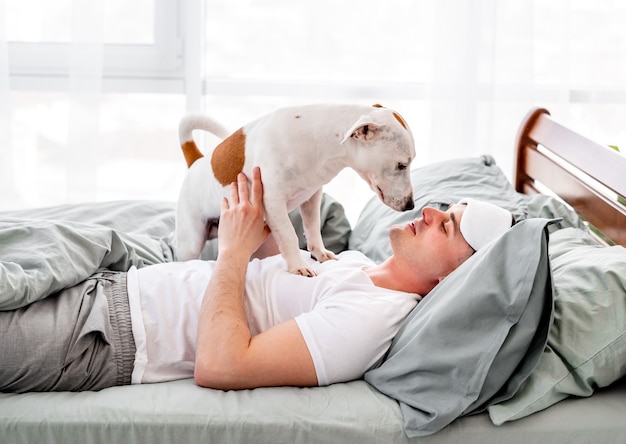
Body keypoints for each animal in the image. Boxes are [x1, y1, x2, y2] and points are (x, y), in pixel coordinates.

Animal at [176, 104, 414, 278]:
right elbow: (289, 235)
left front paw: (319, 253)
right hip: (192, 241)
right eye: (402, 165)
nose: (411, 205)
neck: (317, 141)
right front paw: (297, 266)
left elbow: (313, 228)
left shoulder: (312, 196)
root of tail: (196, 162)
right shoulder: (273, 201)